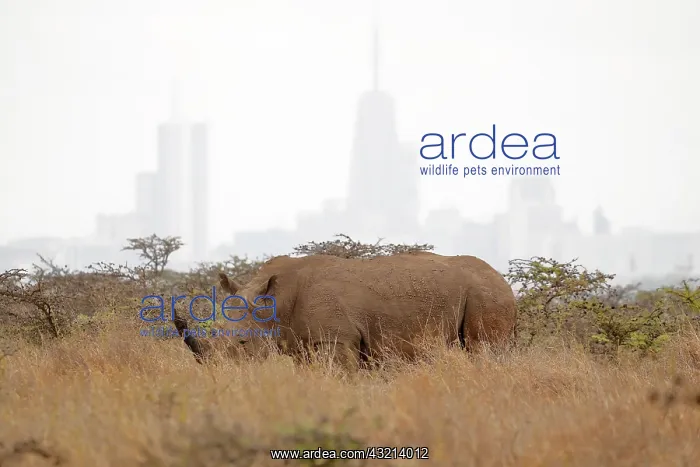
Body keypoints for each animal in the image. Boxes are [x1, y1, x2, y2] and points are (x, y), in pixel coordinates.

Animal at [173, 252, 516, 370]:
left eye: (243, 344)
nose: (217, 373)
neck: (275, 301)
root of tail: (503, 277)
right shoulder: (302, 343)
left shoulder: (336, 340)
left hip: (487, 293)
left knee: (483, 347)